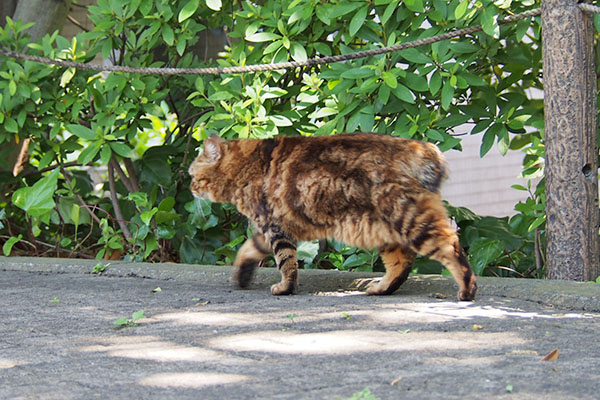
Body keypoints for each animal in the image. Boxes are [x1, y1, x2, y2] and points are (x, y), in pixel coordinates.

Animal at [189, 133, 478, 302]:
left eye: (193, 175)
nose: (190, 187)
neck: (247, 165)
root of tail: (425, 148)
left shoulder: (276, 228)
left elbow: (286, 263)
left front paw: (285, 289)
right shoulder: (269, 230)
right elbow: (247, 251)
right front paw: (242, 276)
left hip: (409, 220)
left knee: (452, 248)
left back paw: (467, 291)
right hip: (385, 230)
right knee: (401, 265)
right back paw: (380, 288)